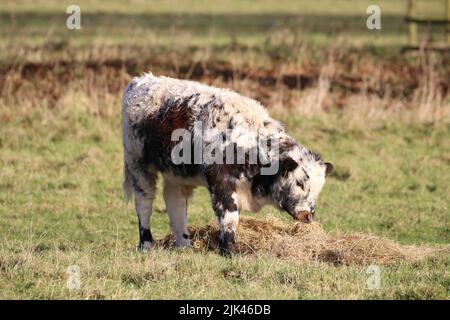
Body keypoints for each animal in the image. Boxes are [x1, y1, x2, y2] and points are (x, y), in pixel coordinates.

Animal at [121, 73, 332, 255]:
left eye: (318, 188)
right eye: (301, 183)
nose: (308, 216)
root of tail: (142, 80)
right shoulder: (220, 182)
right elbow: (229, 216)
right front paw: (229, 250)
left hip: (176, 175)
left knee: (176, 204)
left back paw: (184, 245)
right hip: (137, 165)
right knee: (144, 203)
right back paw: (146, 244)